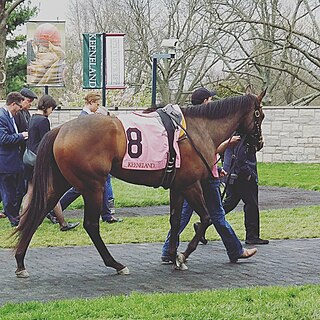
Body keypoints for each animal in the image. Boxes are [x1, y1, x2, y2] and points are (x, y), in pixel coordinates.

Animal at [13, 87, 266, 278]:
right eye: (260, 115)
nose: (259, 143)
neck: (198, 130)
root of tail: (61, 129)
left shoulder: (177, 186)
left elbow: (175, 220)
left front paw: (172, 255)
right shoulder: (190, 184)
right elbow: (206, 218)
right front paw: (182, 256)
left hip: (61, 181)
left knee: (38, 212)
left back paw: (20, 261)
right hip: (93, 185)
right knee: (91, 225)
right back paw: (116, 264)